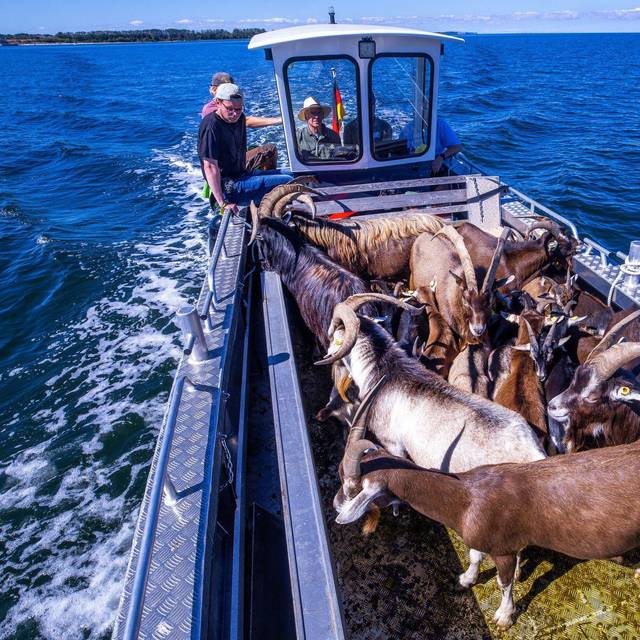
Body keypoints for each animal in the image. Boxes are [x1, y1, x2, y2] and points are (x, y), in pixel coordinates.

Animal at [335, 438, 640, 629]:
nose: (337, 503)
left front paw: (504, 617)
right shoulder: (482, 536)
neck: (466, 499)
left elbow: (504, 582)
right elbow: (474, 555)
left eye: (352, 487)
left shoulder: (504, 547)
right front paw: (467, 579)